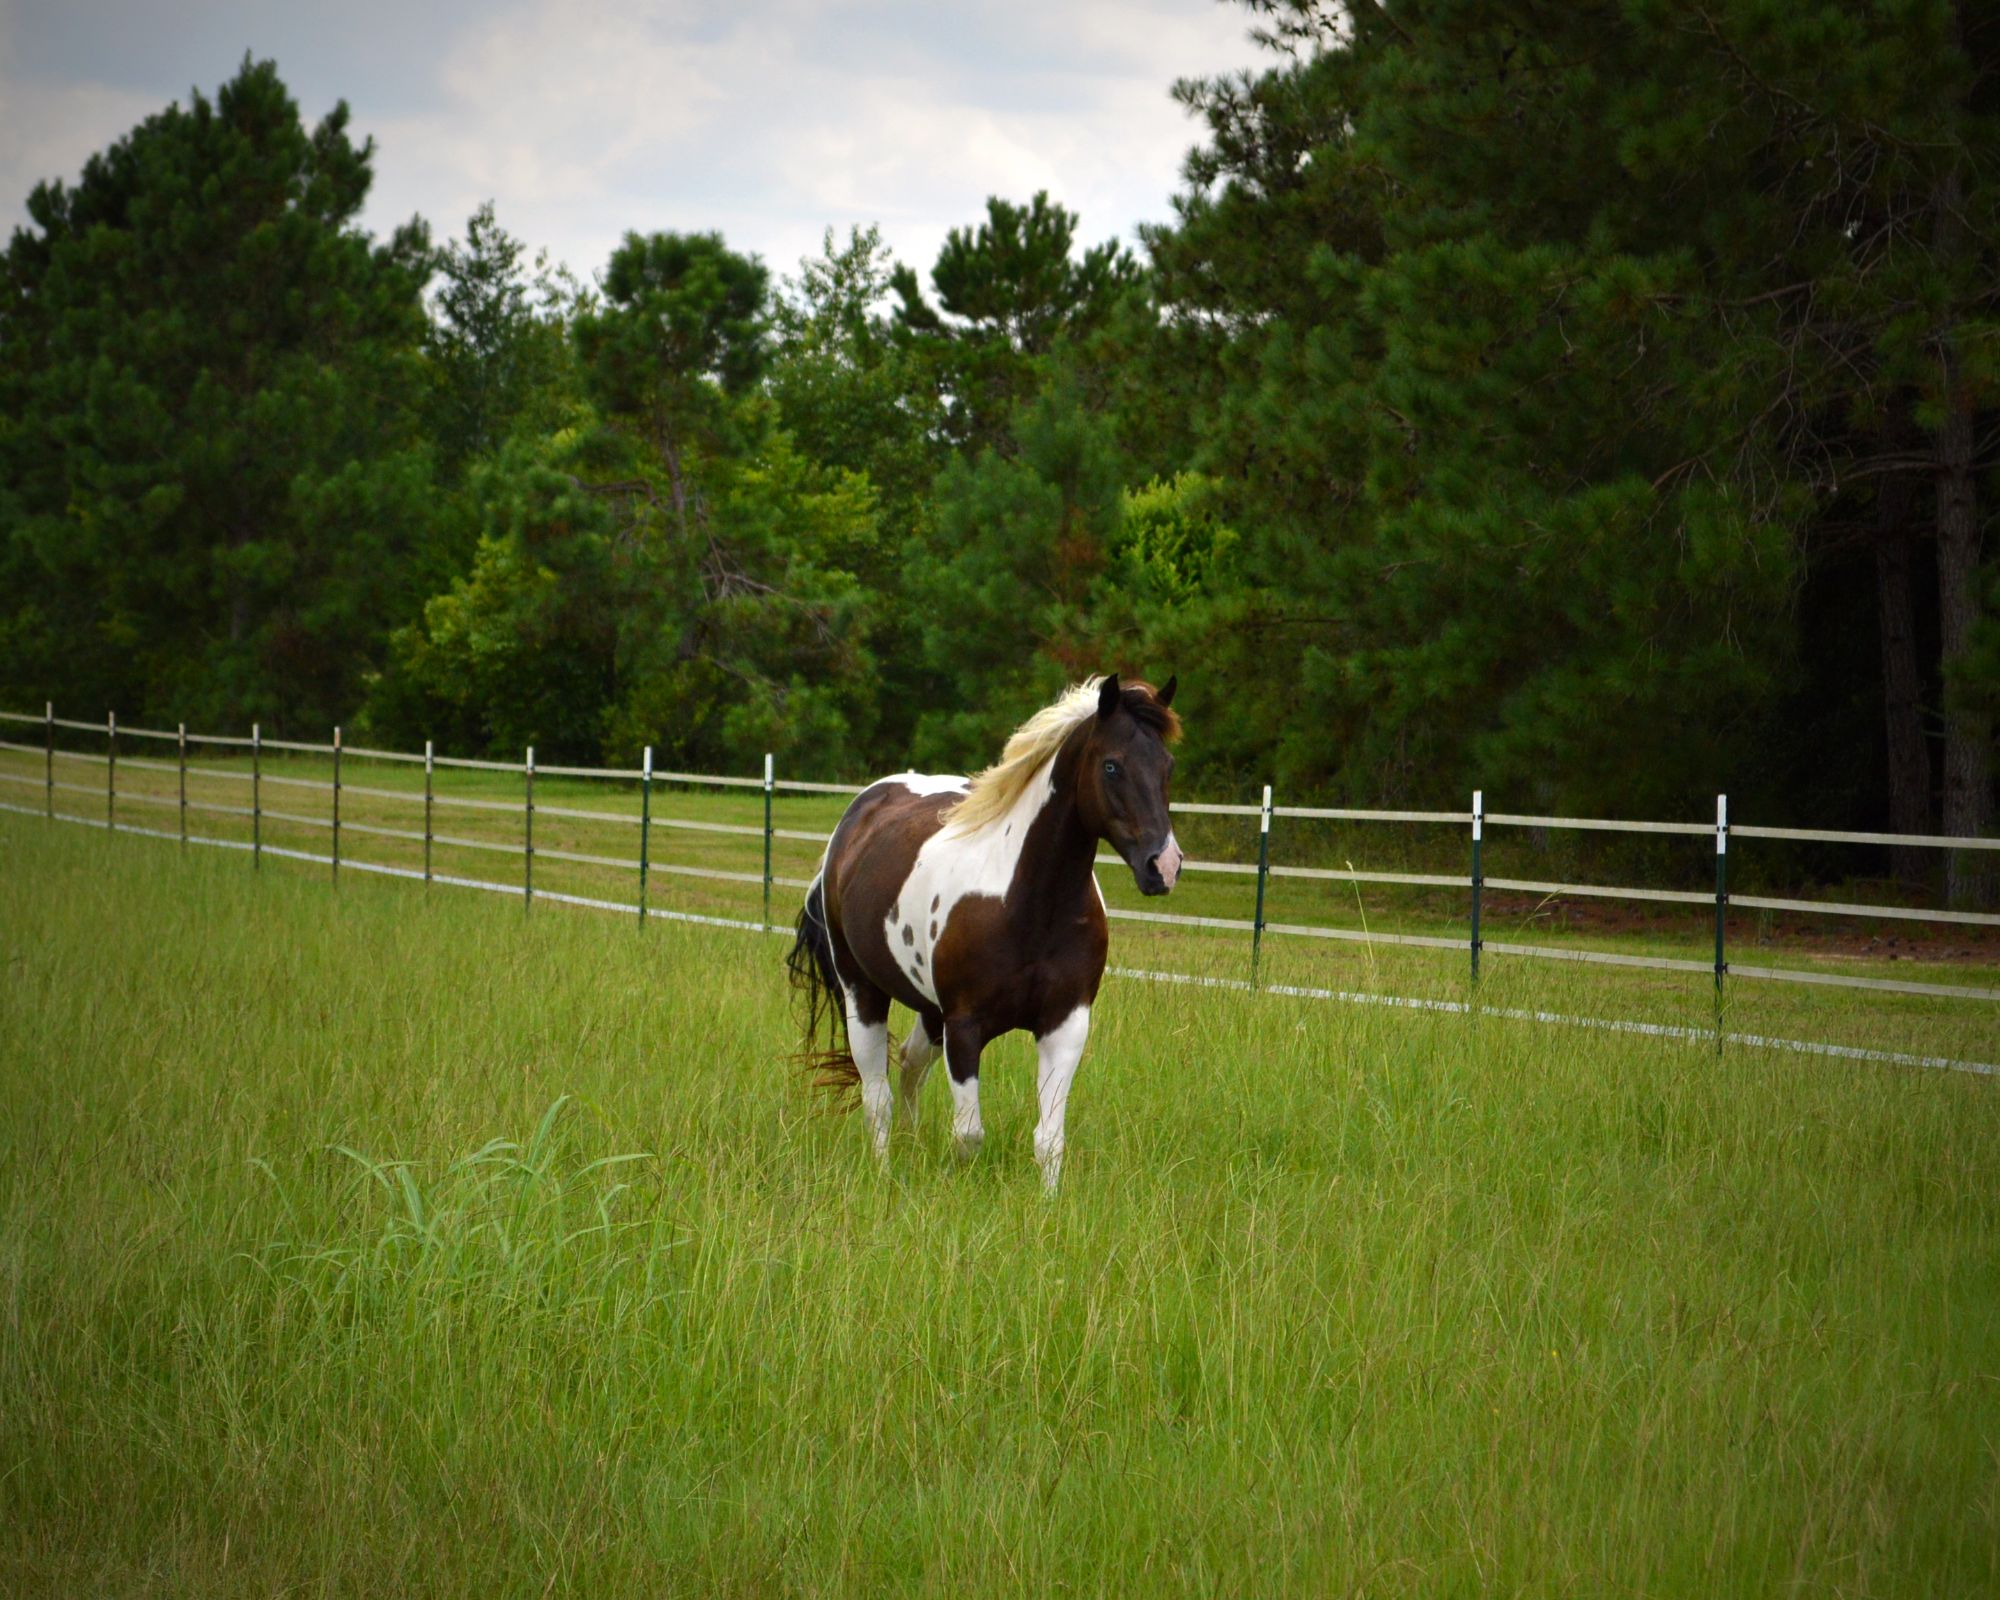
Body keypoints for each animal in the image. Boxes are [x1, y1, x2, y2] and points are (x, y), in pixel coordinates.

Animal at [786, 673, 1182, 1191]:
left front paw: (1048, 1203)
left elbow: (1048, 1139)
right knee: (878, 1098)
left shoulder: (1065, 1024)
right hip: (863, 992)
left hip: (930, 1012)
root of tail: (856, 817)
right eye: (1112, 766)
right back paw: (886, 1173)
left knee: (909, 1067)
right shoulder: (965, 1026)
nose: (1164, 866)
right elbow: (968, 1134)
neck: (1027, 906)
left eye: (1167, 765)